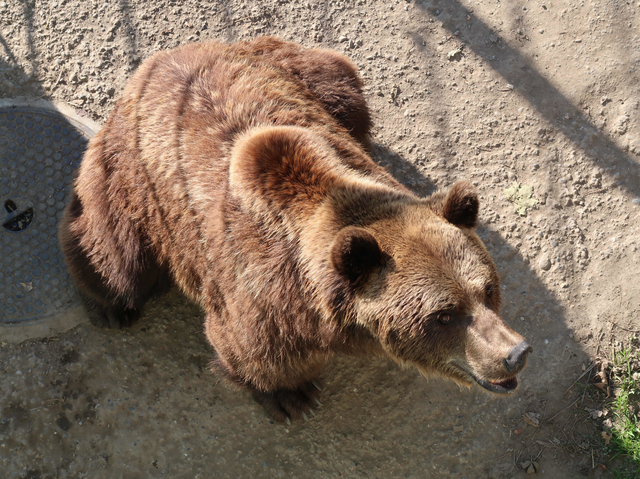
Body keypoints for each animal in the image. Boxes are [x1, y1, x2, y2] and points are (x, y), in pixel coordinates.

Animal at [58, 35, 528, 422]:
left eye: (487, 289)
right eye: (444, 315)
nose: (514, 353)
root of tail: (158, 60)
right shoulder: (259, 296)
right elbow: (252, 353)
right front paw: (290, 397)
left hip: (312, 72)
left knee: (348, 89)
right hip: (131, 180)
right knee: (115, 259)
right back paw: (109, 306)